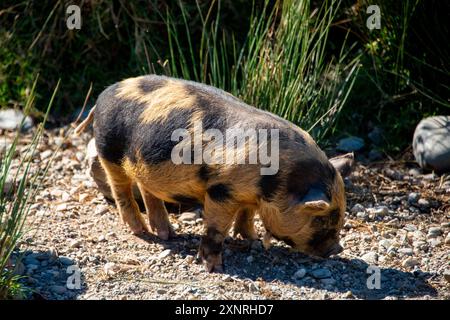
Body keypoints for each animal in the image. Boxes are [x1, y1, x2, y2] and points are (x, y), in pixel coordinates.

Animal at [75, 75, 354, 272]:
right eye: (320, 219)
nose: (337, 249)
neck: (278, 179)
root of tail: (102, 96)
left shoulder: (247, 194)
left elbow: (247, 215)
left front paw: (251, 240)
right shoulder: (222, 190)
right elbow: (216, 228)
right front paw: (214, 267)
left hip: (143, 159)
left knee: (147, 189)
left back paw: (167, 234)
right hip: (109, 150)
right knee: (120, 189)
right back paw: (141, 232)